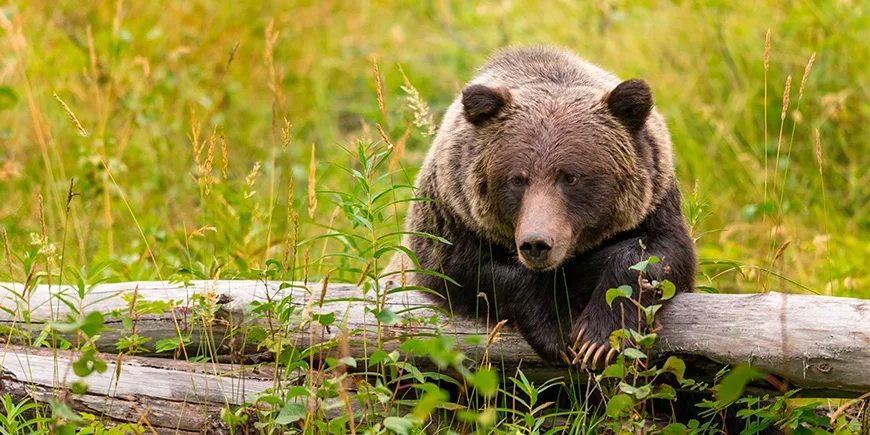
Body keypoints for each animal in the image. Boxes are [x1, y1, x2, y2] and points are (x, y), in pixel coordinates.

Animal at [388, 46, 696, 368]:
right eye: (517, 179)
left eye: (570, 176)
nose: (536, 243)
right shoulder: (452, 219)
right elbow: (468, 272)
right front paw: (558, 330)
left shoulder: (655, 206)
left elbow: (656, 255)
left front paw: (598, 338)